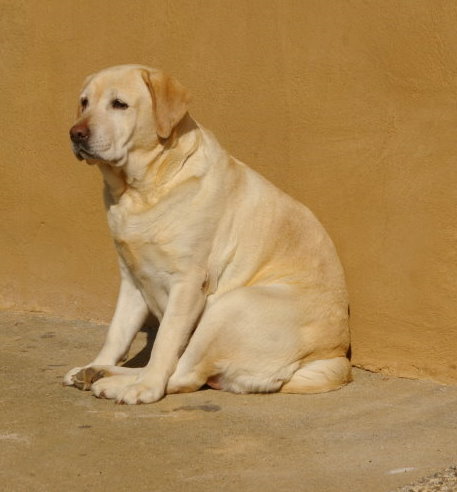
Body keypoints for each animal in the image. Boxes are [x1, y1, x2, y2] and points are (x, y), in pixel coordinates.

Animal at [64, 64, 350, 404]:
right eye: (84, 102)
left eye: (119, 104)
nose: (76, 133)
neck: (142, 190)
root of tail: (333, 357)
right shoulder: (131, 279)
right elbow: (117, 333)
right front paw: (97, 363)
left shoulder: (188, 283)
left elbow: (164, 343)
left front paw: (146, 389)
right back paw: (98, 372)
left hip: (230, 305)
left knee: (183, 375)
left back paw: (123, 383)